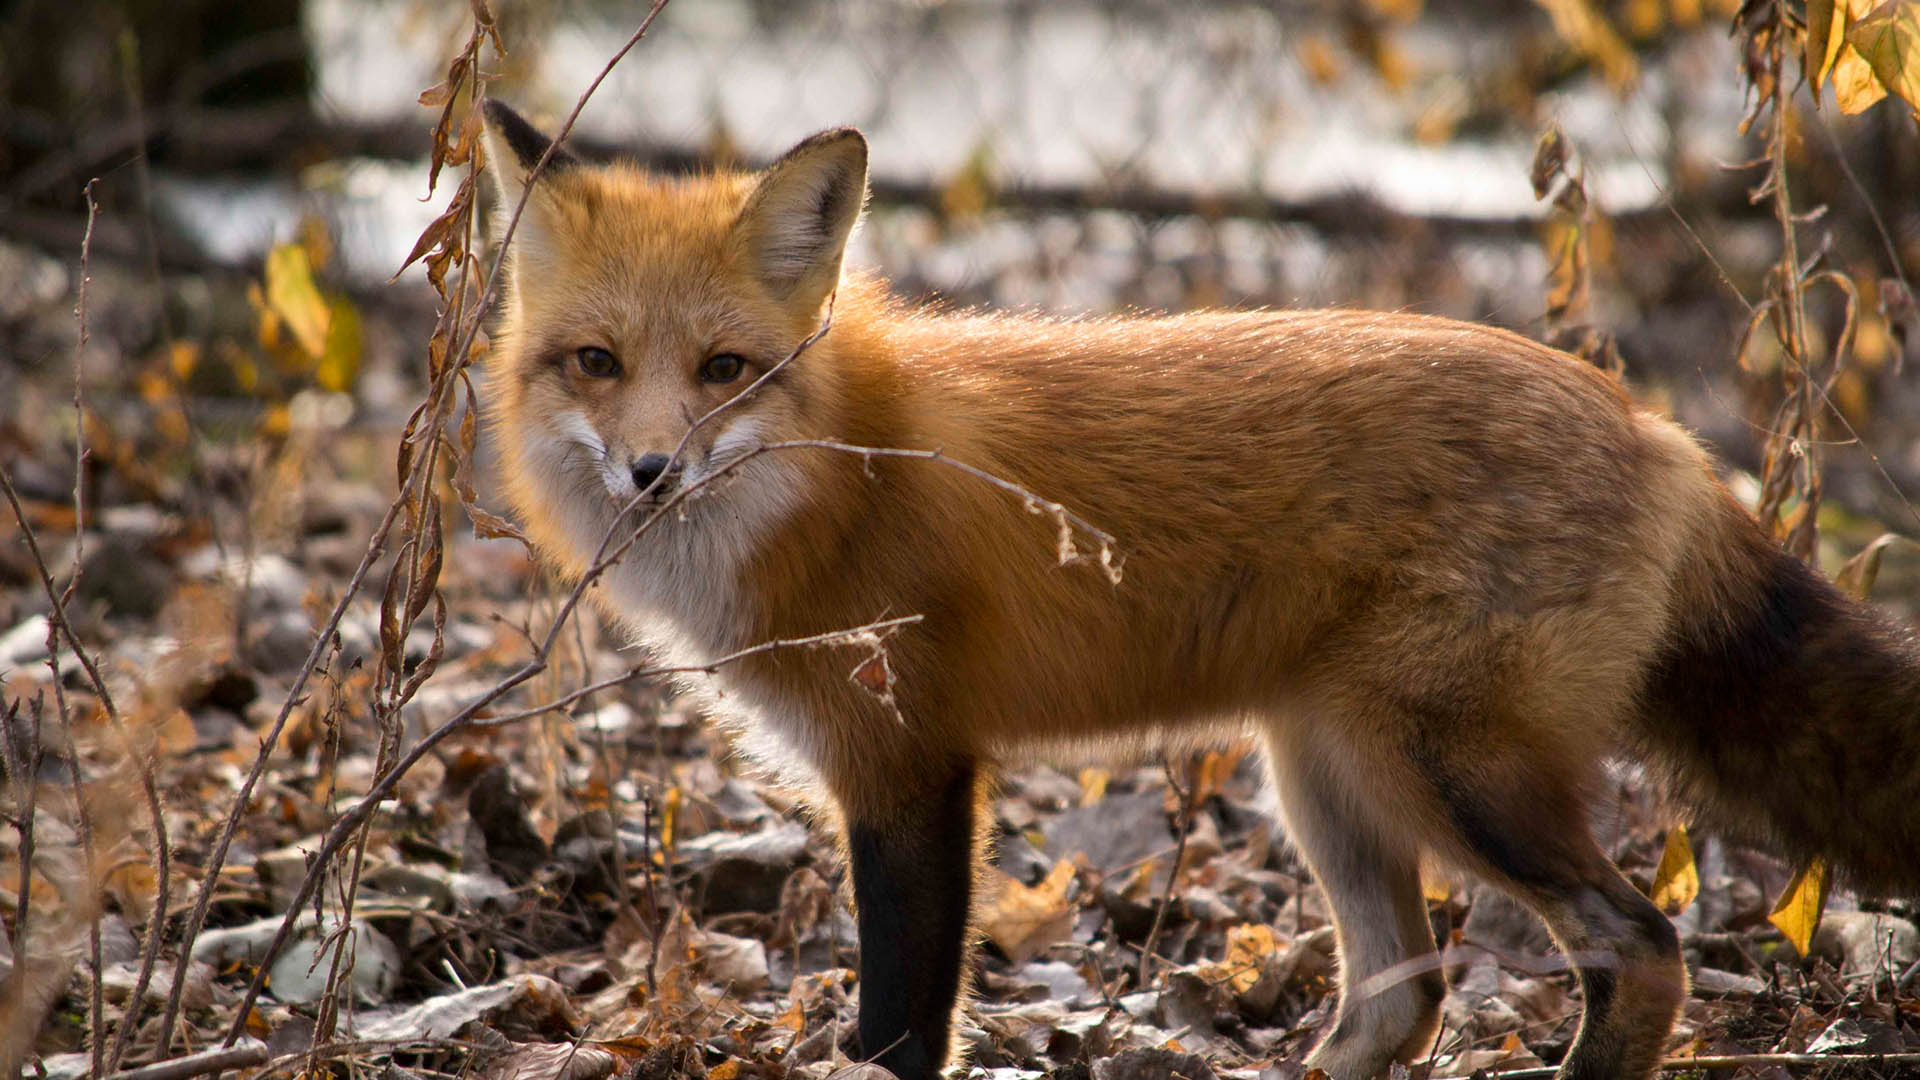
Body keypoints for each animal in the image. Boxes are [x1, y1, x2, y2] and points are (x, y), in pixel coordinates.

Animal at [476, 105, 1920, 1076]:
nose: (651, 471)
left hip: (1441, 767)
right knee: (1401, 997)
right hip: (1324, 774)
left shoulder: (909, 767)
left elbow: (899, 1033)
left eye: (723, 370)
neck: (841, 476)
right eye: (598, 363)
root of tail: (1655, 425)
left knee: (1639, 947)